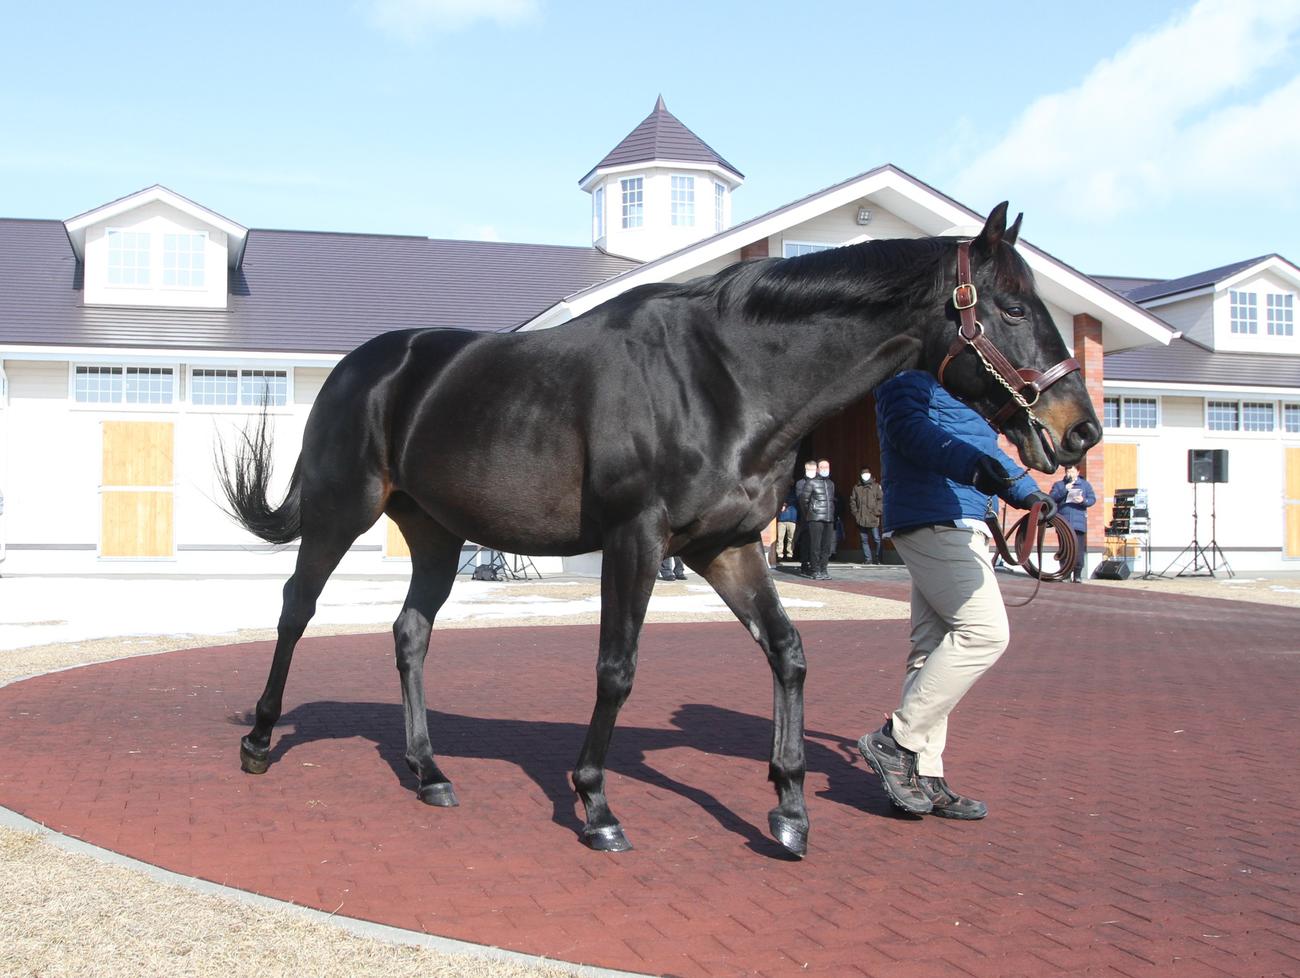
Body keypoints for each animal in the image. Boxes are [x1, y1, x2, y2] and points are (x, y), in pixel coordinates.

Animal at [218, 202, 1100, 858]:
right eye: (1011, 307)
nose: (1080, 429)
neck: (723, 376)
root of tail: (360, 366)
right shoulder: (634, 539)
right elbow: (617, 668)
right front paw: (596, 805)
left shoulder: (727, 547)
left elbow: (788, 653)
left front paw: (789, 809)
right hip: (342, 511)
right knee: (296, 609)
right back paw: (260, 740)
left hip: (436, 532)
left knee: (409, 632)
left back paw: (429, 770)